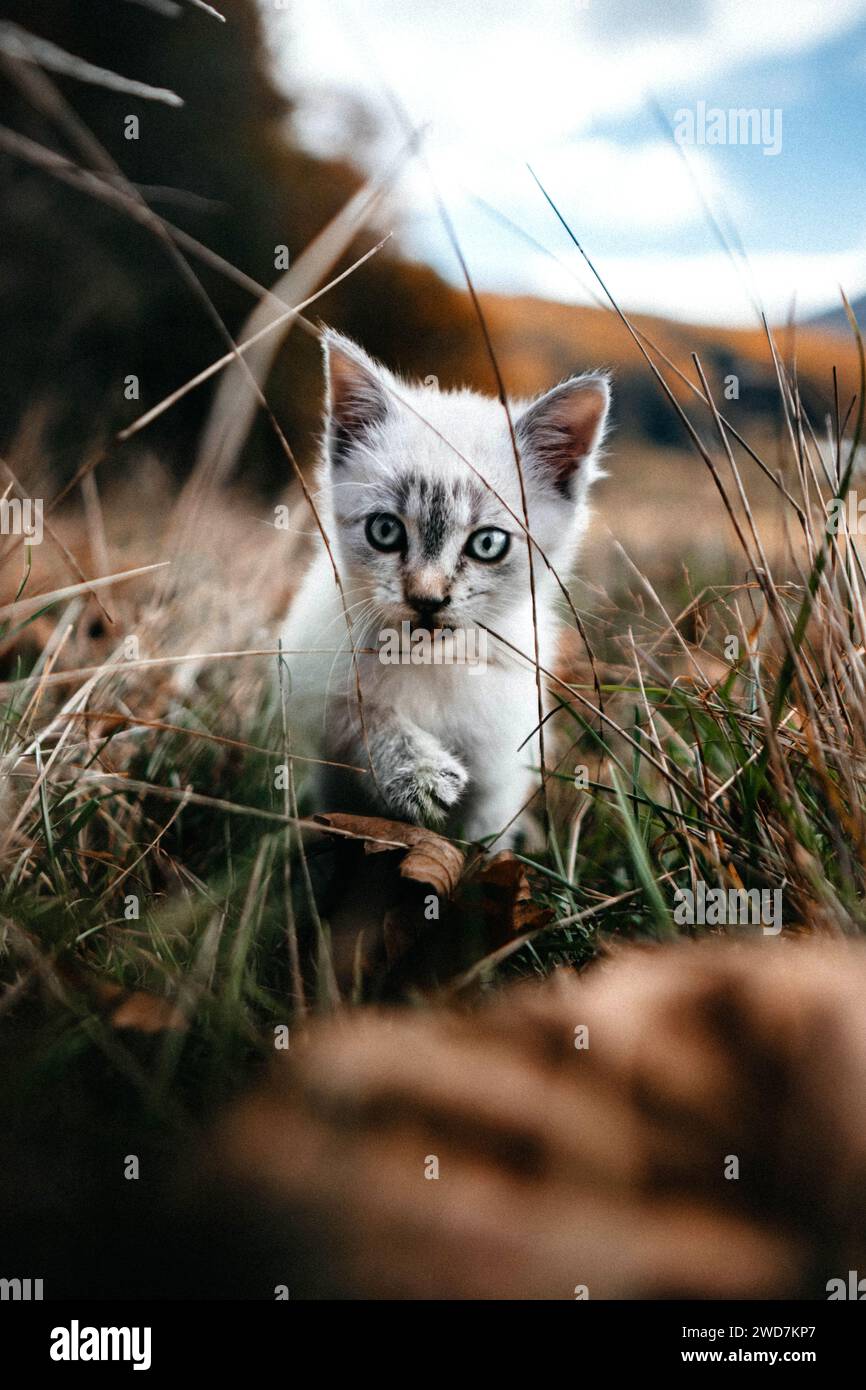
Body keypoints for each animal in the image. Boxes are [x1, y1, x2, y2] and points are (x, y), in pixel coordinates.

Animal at [280, 333, 606, 845]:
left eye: (488, 543)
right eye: (385, 531)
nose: (427, 598)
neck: (429, 660)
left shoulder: (504, 758)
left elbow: (481, 842)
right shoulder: (314, 680)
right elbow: (362, 715)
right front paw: (419, 774)